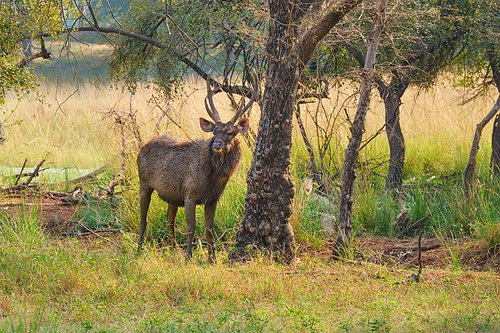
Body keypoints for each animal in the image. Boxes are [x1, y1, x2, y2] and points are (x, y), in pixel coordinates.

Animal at [137, 72, 254, 260]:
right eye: (214, 132)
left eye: (230, 133)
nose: (217, 144)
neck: (212, 179)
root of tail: (141, 148)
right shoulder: (189, 193)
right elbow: (191, 228)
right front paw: (189, 256)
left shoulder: (213, 198)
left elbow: (209, 228)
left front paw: (212, 257)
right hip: (144, 183)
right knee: (143, 219)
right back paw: (139, 249)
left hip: (172, 195)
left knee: (169, 220)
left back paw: (175, 249)